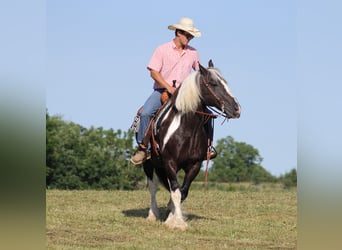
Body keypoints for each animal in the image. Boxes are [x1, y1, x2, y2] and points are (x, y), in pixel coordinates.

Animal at [142, 59, 240, 229]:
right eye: (213, 83)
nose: (237, 109)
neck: (187, 129)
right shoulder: (169, 162)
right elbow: (176, 192)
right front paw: (179, 223)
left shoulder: (195, 164)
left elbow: (182, 192)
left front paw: (172, 218)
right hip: (149, 163)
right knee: (153, 187)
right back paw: (152, 214)